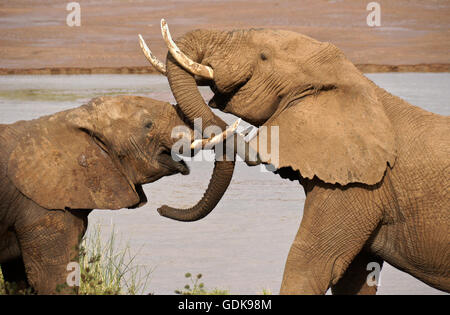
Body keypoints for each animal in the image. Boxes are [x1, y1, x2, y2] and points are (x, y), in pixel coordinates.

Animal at [0, 95, 237, 296]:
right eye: (148, 125)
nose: (161, 208)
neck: (72, 118)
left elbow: (19, 280)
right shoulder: (41, 208)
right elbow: (52, 281)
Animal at [139, 21, 448, 296]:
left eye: (263, 56)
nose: (160, 208)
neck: (355, 80)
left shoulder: (359, 187)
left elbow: (311, 263)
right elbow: (355, 275)